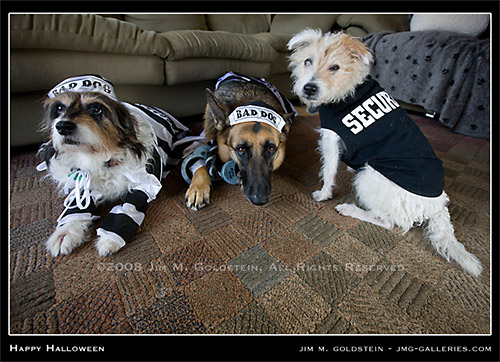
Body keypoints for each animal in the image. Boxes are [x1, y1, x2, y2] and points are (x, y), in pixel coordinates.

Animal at [38, 75, 200, 256]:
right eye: (59, 108)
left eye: (96, 108)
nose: (63, 126)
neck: (100, 160)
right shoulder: (81, 183)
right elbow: (75, 210)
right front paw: (65, 234)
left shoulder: (143, 184)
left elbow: (126, 210)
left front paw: (109, 239)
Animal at [288, 29, 482, 276]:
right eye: (307, 61)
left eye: (335, 67)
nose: (309, 88)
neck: (350, 88)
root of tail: (437, 206)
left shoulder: (331, 137)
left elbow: (329, 170)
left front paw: (323, 194)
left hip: (368, 179)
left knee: (390, 222)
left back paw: (349, 209)